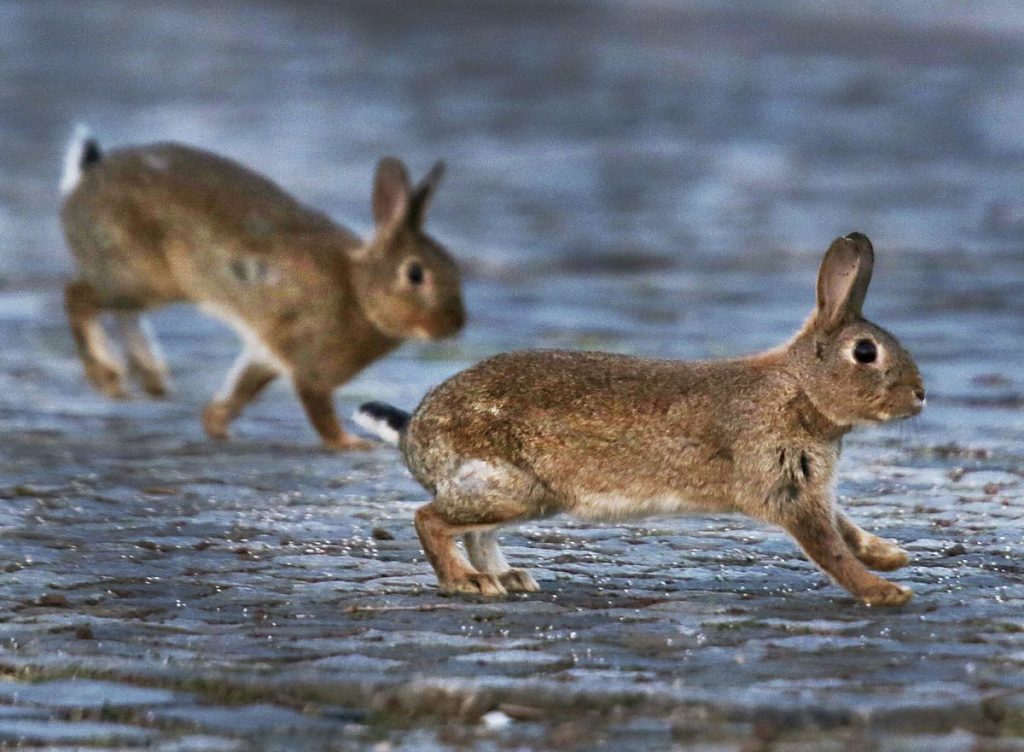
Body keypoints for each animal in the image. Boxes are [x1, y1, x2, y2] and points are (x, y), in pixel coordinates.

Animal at [59, 127, 465, 450]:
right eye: (416, 274)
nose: (454, 326)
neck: (359, 292)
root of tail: (83, 182)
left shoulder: (268, 351)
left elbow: (242, 390)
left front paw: (218, 427)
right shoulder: (310, 364)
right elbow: (317, 409)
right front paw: (349, 444)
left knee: (117, 310)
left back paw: (150, 379)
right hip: (140, 277)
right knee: (78, 296)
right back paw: (107, 376)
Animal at [355, 233, 926, 606]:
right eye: (866, 353)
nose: (921, 396)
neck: (799, 389)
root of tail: (415, 435)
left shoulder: (808, 486)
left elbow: (845, 529)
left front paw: (890, 557)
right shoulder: (786, 487)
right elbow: (830, 549)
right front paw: (887, 591)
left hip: (517, 493)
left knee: (475, 532)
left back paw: (510, 578)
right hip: (512, 486)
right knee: (429, 518)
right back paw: (466, 582)